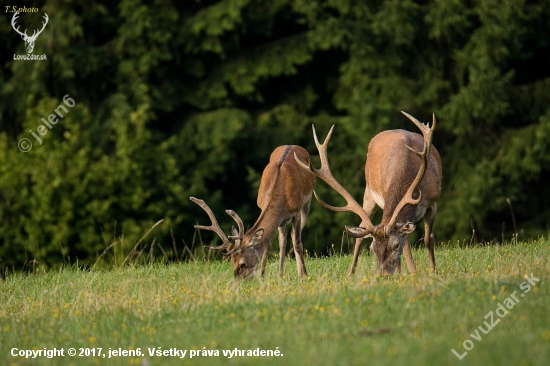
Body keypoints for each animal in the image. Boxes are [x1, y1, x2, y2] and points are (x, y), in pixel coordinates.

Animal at [192, 144, 316, 278]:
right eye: (232, 262)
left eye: (243, 264)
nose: (237, 280)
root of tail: (292, 145)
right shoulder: (263, 207)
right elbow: (268, 245)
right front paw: (262, 276)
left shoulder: (296, 211)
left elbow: (298, 244)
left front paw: (304, 276)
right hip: (282, 222)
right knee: (283, 238)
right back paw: (280, 275)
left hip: (307, 201)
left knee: (294, 235)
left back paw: (298, 273)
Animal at [298, 113, 444, 276]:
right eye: (372, 249)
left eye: (395, 246)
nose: (383, 274)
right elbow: (407, 245)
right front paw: (414, 273)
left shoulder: (433, 202)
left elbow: (428, 239)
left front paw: (432, 272)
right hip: (368, 191)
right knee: (361, 230)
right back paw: (350, 274)